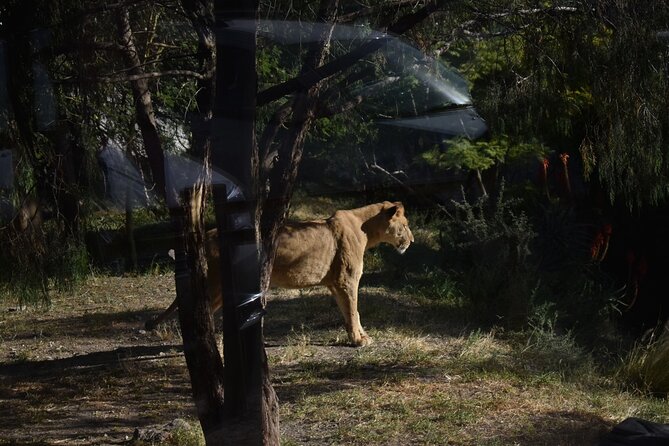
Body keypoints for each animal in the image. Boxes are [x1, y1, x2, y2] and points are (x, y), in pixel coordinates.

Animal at [145, 201, 414, 347]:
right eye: (406, 225)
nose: (411, 241)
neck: (366, 229)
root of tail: (209, 235)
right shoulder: (347, 279)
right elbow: (353, 308)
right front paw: (358, 341)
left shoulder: (335, 283)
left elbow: (351, 312)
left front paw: (360, 335)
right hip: (216, 285)